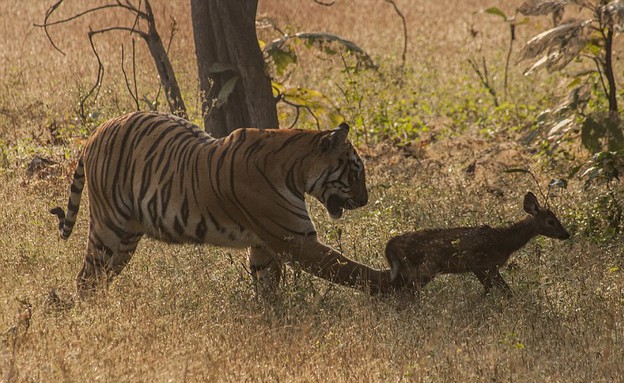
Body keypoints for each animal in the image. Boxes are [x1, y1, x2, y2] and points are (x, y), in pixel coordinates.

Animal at [51, 111, 402, 296]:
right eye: (355, 172)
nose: (365, 200)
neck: (296, 169)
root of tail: (95, 133)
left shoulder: (264, 244)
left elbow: (267, 282)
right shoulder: (295, 239)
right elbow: (347, 269)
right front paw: (392, 283)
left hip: (127, 237)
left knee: (100, 277)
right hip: (109, 227)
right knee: (86, 277)